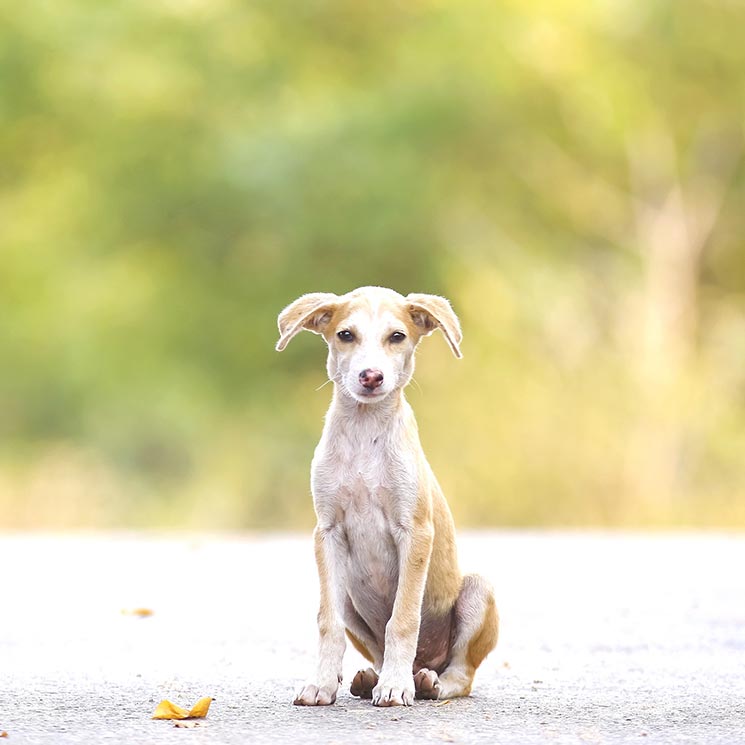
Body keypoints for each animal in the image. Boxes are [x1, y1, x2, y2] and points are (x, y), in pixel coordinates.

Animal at [276, 288, 496, 708]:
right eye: (345, 335)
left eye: (397, 336)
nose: (371, 376)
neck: (365, 433)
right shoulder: (327, 532)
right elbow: (327, 621)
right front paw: (322, 683)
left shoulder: (415, 532)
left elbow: (404, 618)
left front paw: (395, 686)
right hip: (350, 596)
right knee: (374, 648)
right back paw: (372, 678)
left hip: (478, 590)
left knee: (462, 674)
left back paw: (424, 682)